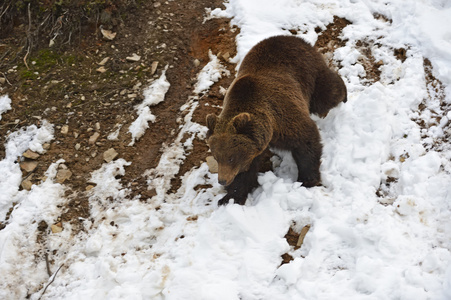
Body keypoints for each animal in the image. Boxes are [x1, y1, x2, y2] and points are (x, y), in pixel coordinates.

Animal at [207, 34, 348, 204]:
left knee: (326, 94)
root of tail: (293, 37)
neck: (270, 128)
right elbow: (245, 171)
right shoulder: (254, 145)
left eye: (231, 158)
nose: (222, 180)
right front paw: (231, 197)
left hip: (308, 73)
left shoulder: (283, 117)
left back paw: (344, 93)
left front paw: (307, 180)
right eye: (216, 157)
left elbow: (307, 139)